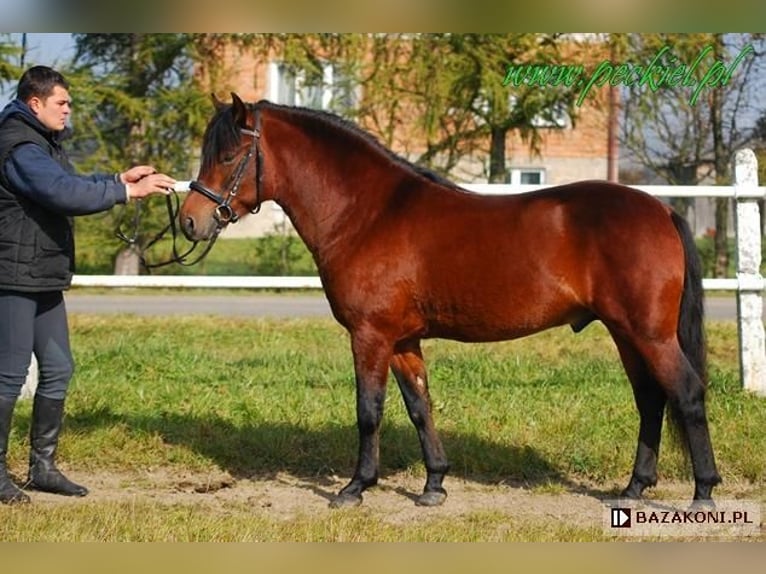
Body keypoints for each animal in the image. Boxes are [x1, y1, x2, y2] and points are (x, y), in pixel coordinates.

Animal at [179, 93, 721, 508]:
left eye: (227, 156)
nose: (189, 221)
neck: (368, 213)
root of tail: (661, 209)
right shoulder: (403, 341)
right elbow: (420, 406)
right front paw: (434, 484)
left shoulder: (370, 336)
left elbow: (368, 410)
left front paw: (354, 488)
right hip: (627, 334)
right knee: (650, 400)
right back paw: (633, 489)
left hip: (648, 334)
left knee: (686, 394)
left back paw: (703, 492)